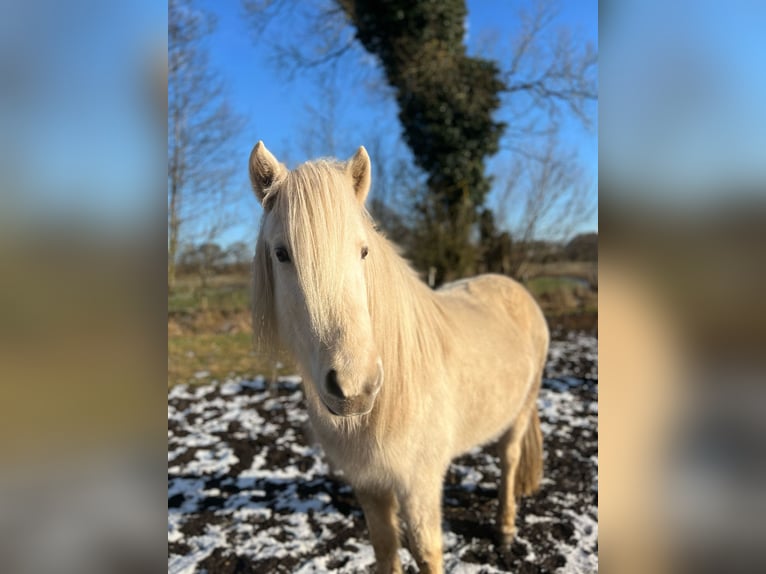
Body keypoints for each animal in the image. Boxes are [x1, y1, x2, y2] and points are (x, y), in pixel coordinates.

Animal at [249, 141, 549, 574]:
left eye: (363, 251)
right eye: (281, 253)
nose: (355, 388)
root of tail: (514, 288)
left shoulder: (418, 484)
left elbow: (426, 550)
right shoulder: (369, 484)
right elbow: (385, 548)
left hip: (522, 409)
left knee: (508, 460)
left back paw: (505, 529)